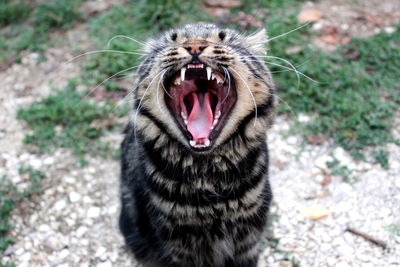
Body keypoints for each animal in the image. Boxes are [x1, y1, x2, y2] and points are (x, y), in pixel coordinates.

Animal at [117, 23, 276, 267]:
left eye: (223, 38)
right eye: (173, 40)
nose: (194, 46)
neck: (208, 179)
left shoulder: (248, 235)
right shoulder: (178, 241)